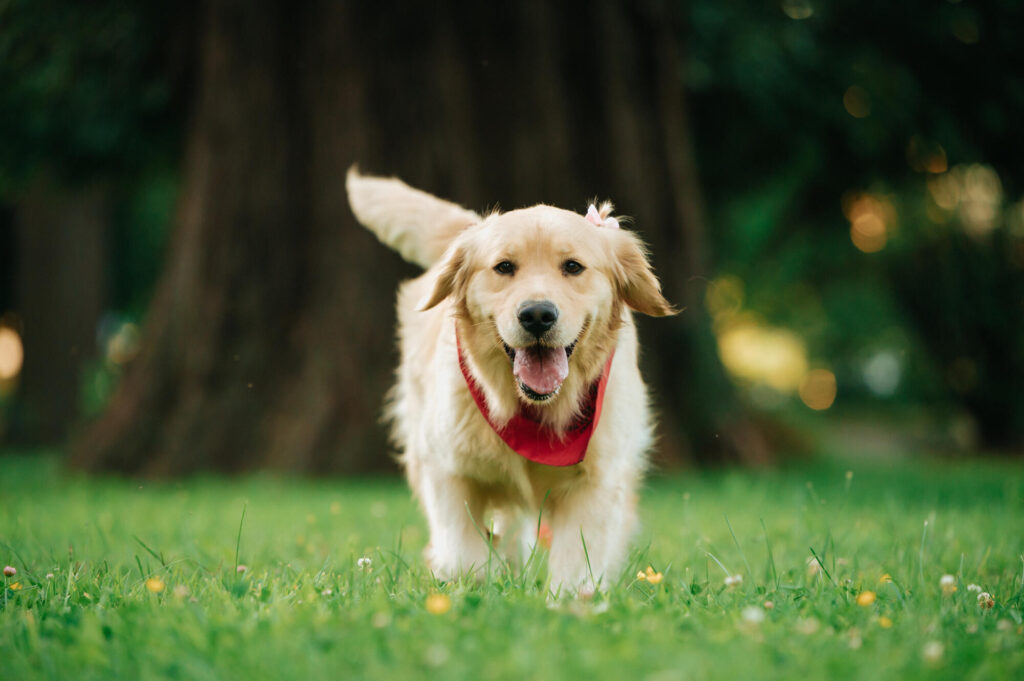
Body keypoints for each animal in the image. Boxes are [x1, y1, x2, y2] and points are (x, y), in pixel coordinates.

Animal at [348, 166, 675, 593]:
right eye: (504, 267)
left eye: (573, 266)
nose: (537, 315)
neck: (534, 409)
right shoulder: (448, 471)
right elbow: (462, 551)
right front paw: (474, 585)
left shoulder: (598, 481)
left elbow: (577, 562)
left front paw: (569, 601)